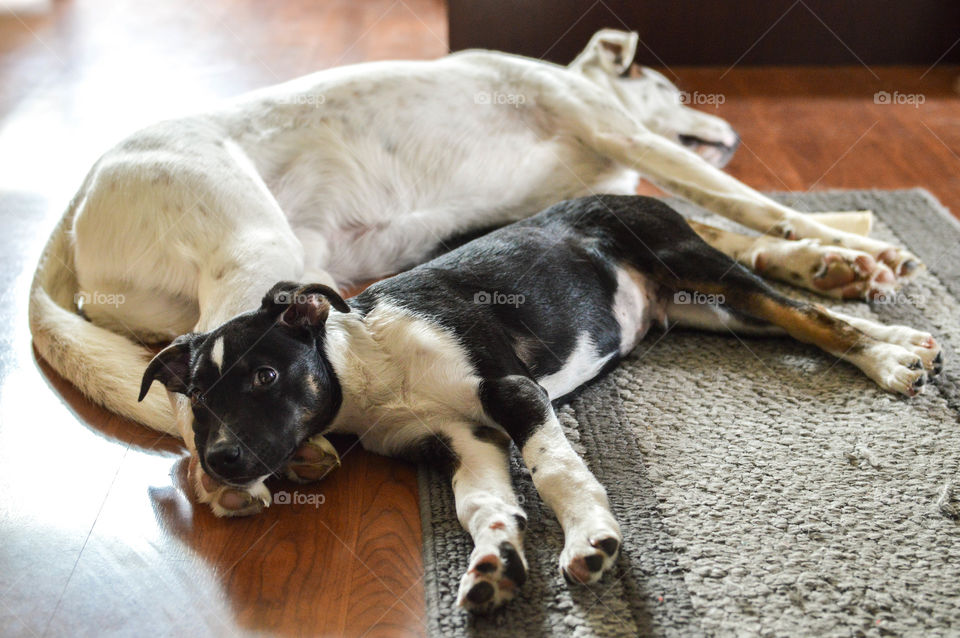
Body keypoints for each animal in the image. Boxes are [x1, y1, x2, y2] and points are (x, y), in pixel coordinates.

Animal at [31, 31, 924, 516]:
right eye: (670, 88)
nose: (734, 131)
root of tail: (78, 197)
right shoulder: (628, 136)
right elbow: (751, 204)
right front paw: (846, 246)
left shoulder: (587, 201)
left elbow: (737, 234)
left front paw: (841, 263)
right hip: (254, 249)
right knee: (195, 400)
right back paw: (242, 482)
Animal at [141, 196, 936, 616]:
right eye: (198, 403)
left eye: (266, 376)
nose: (220, 461)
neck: (369, 364)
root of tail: (636, 195)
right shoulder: (463, 440)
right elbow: (482, 505)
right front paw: (494, 564)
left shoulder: (512, 393)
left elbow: (557, 472)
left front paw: (590, 541)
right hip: (707, 309)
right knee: (792, 323)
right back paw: (899, 342)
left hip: (700, 266)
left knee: (810, 317)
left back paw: (893, 355)